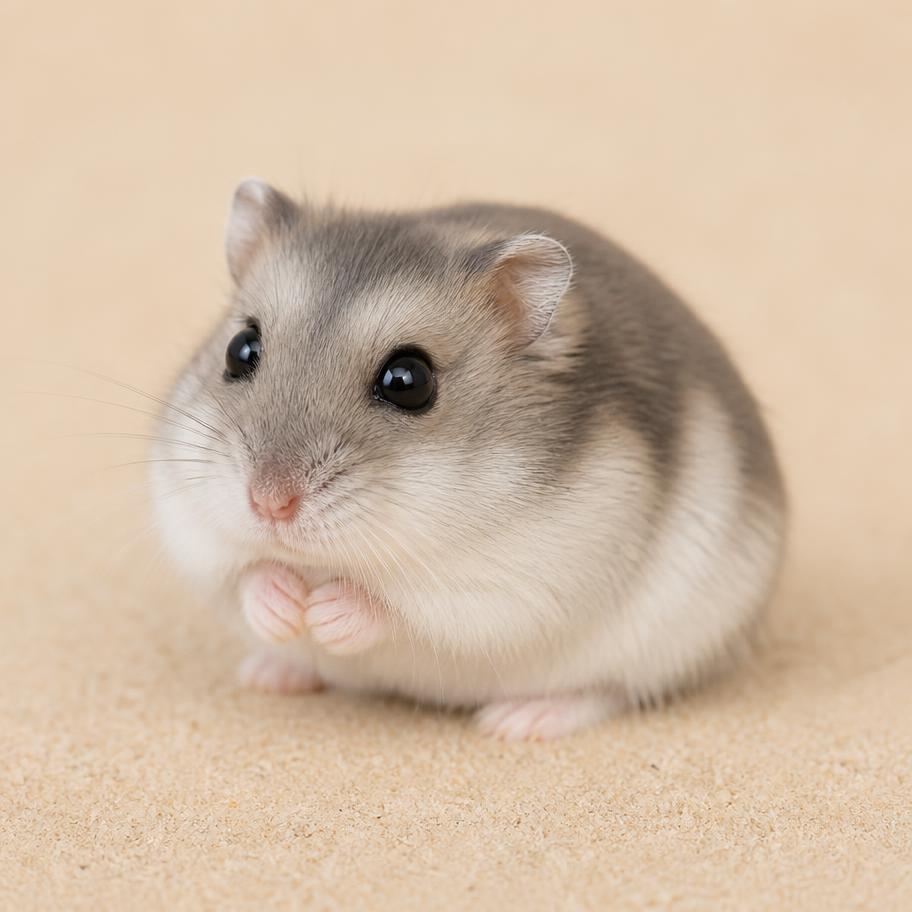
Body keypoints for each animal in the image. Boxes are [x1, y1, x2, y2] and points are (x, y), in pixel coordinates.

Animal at [150, 179, 786, 740]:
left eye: (408, 380)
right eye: (240, 349)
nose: (268, 503)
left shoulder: (519, 581)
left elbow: (402, 607)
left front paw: (324, 610)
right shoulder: (187, 521)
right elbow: (241, 574)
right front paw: (285, 606)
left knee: (609, 689)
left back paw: (520, 721)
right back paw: (272, 671)